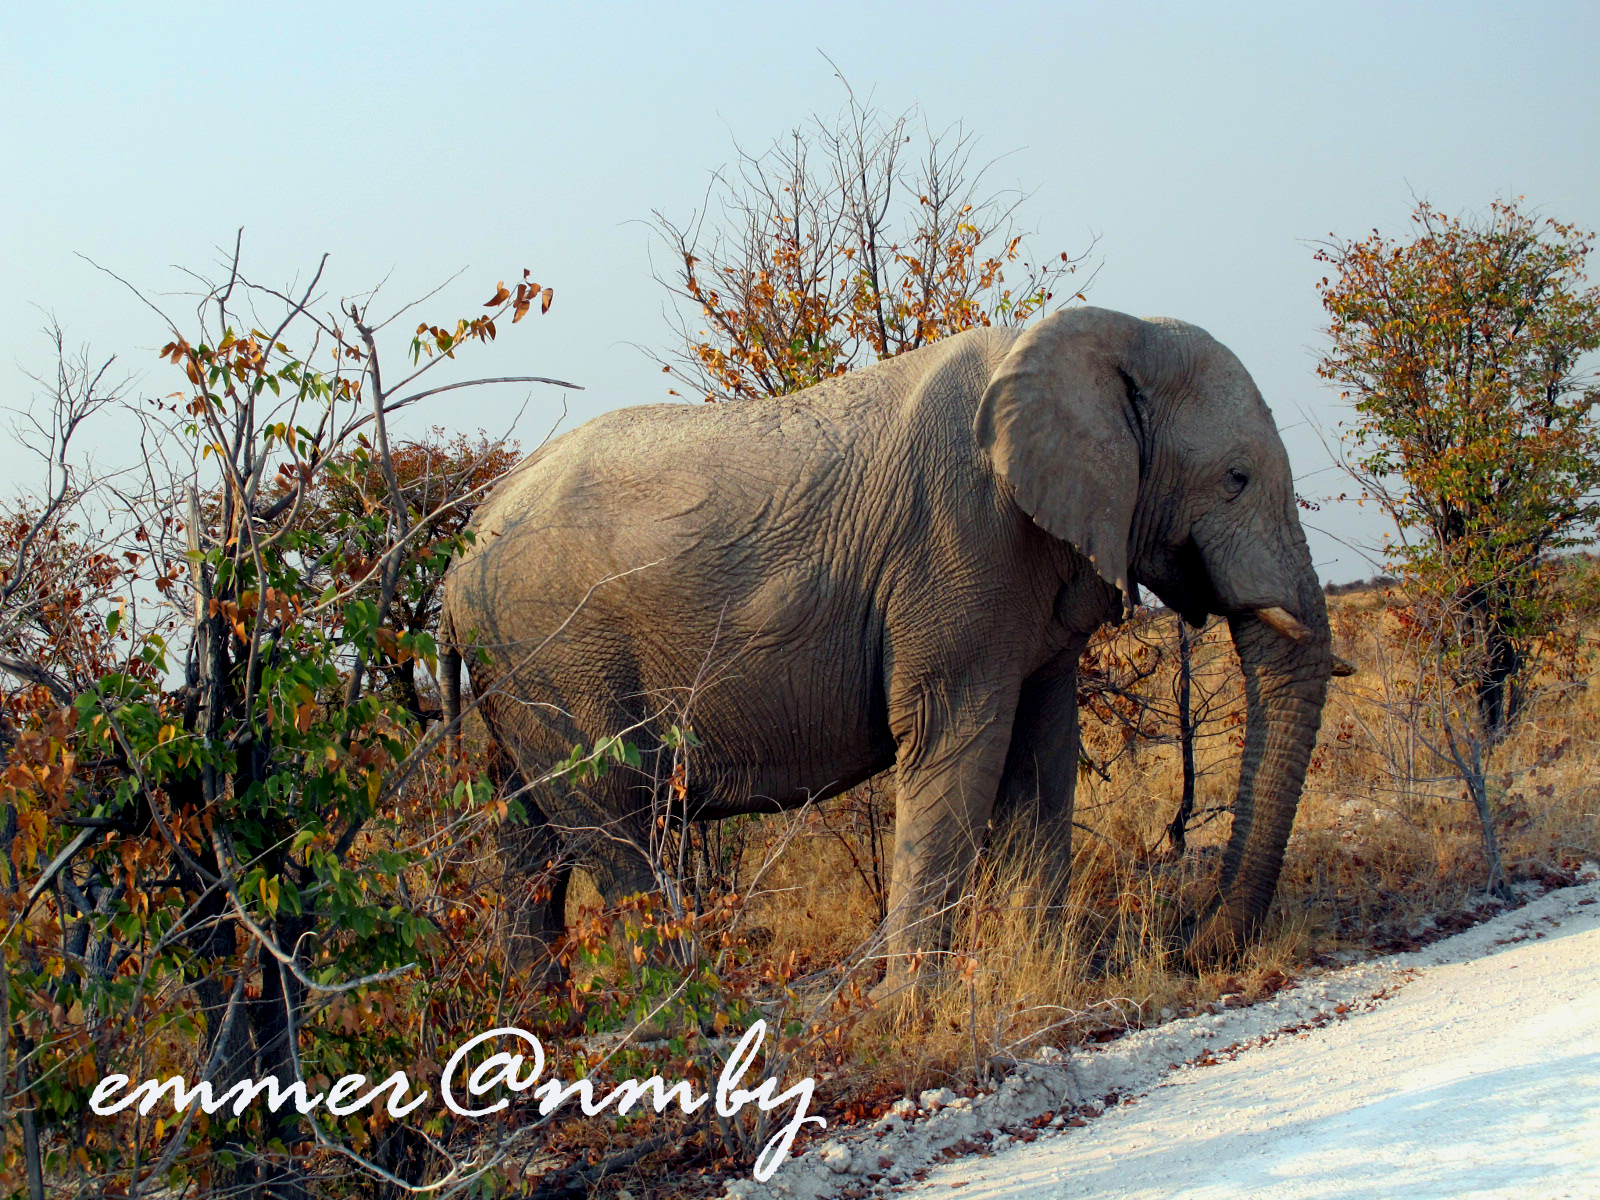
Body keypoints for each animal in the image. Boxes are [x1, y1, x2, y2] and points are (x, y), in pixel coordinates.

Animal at [438, 307, 1337, 985]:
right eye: (1236, 479)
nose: (1192, 945)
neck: (1104, 333)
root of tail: (459, 551)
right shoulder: (958, 545)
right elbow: (954, 742)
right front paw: (908, 1002)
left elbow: (1043, 750)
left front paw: (1053, 971)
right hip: (550, 664)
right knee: (616, 831)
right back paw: (682, 1024)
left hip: (516, 679)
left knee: (529, 837)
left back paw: (554, 1024)